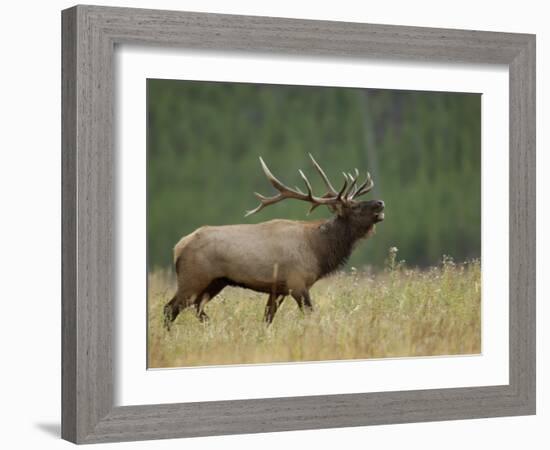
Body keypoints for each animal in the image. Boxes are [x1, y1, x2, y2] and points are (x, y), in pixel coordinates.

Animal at [165, 153, 388, 328]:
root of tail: (178, 246)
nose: (380, 203)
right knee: (170, 308)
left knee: (196, 308)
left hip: (215, 282)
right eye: (354, 207)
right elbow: (310, 314)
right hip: (192, 278)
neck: (319, 250)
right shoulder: (297, 283)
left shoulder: (278, 289)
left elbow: (267, 319)